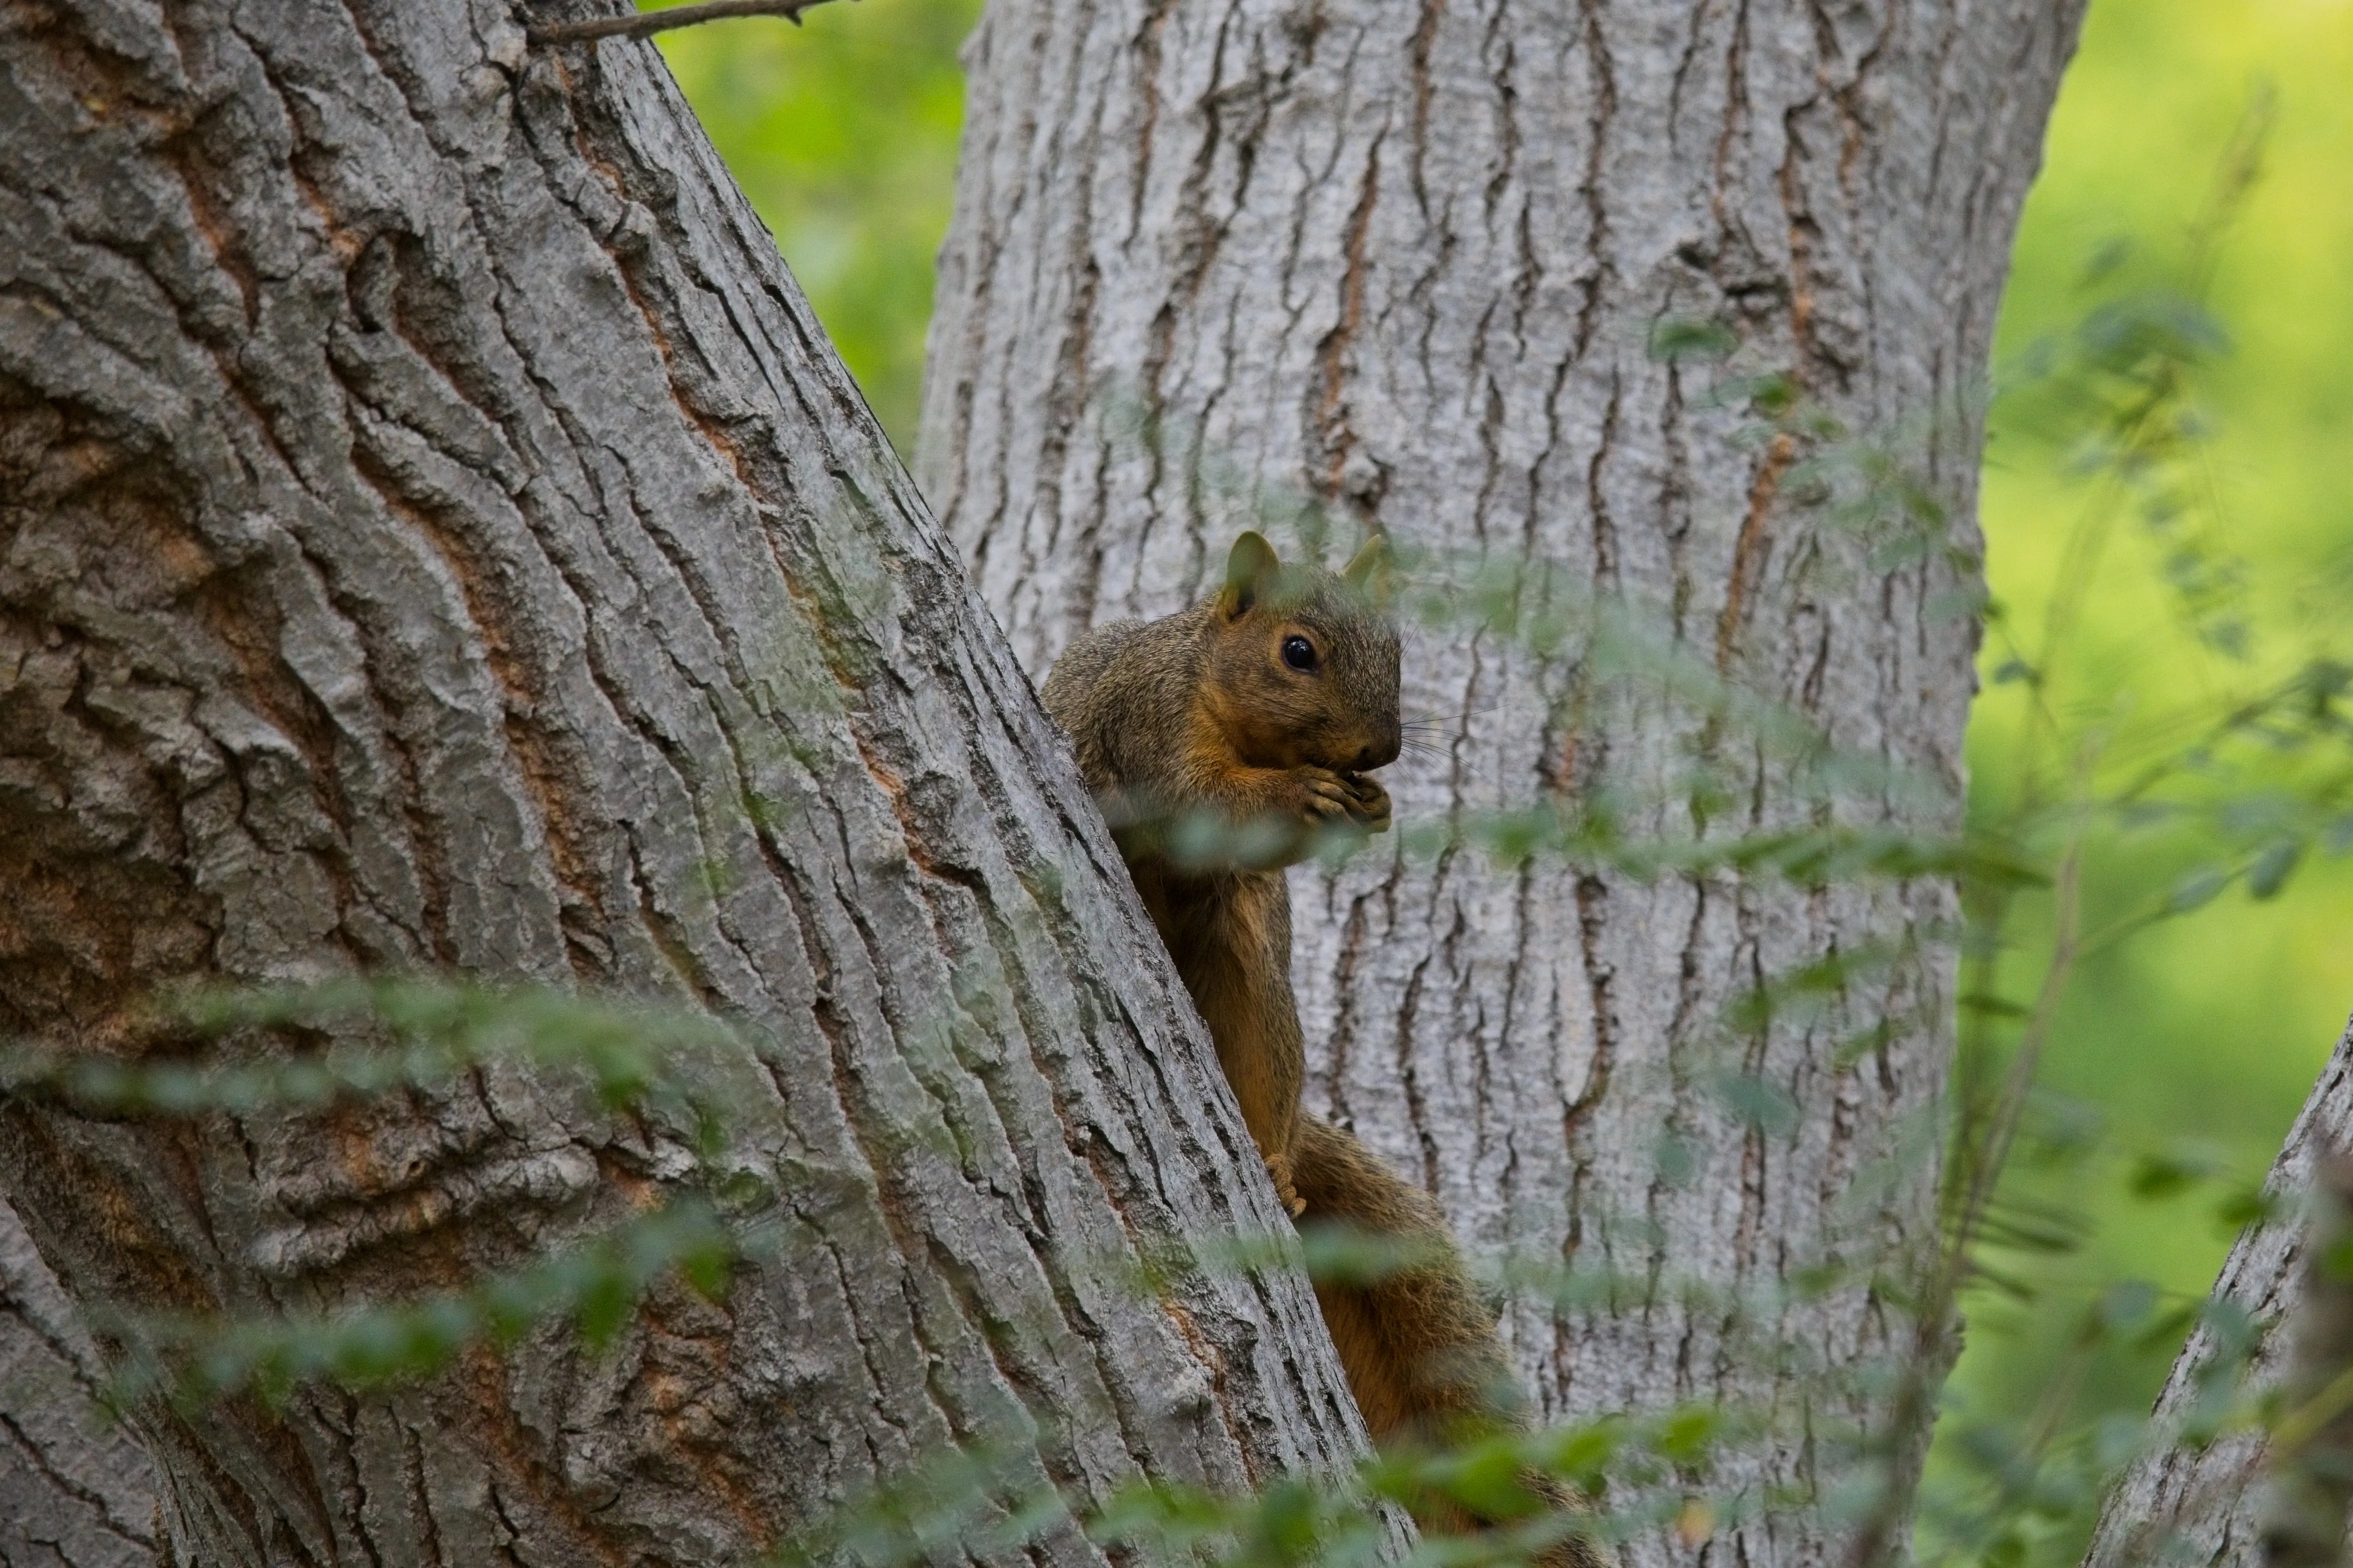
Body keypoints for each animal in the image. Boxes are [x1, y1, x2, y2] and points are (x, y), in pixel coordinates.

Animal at [1043, 531, 1604, 1566]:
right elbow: (1192, 798)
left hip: (1249, 972)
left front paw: (1369, 806)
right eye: (1296, 652)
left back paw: (1270, 1164)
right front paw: (1304, 793)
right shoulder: (1151, 725)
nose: (1379, 750)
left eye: (1396, 647)